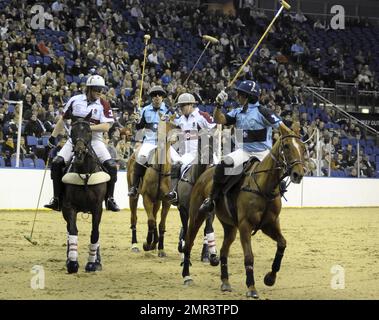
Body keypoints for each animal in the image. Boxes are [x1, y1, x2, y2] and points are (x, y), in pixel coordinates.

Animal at [126, 114, 177, 256]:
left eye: (174, 125)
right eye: (159, 125)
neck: (160, 168)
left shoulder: (166, 200)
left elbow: (160, 224)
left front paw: (160, 248)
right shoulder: (146, 197)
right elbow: (151, 221)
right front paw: (147, 243)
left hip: (157, 201)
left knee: (154, 216)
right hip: (134, 196)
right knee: (134, 218)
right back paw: (135, 245)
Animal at [181, 124, 306, 298]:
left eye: (303, 148)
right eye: (286, 146)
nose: (298, 174)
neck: (265, 188)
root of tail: (205, 172)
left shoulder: (270, 225)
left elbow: (282, 243)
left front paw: (270, 278)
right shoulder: (245, 225)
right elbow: (249, 257)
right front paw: (251, 288)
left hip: (230, 226)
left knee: (223, 250)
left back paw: (225, 282)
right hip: (196, 216)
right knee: (189, 243)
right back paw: (187, 276)